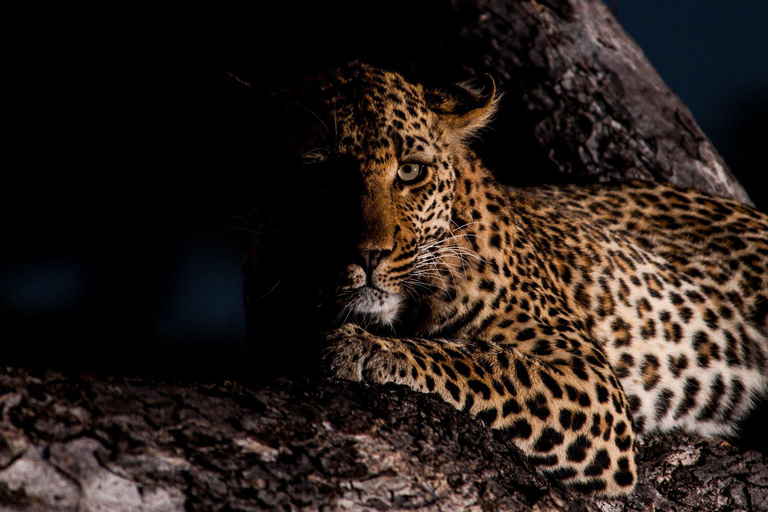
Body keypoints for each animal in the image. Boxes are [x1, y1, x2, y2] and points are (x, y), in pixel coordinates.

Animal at [248, 62, 768, 498]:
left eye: (411, 171)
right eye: (319, 174)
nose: (369, 254)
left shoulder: (589, 380)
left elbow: (478, 360)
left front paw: (362, 348)